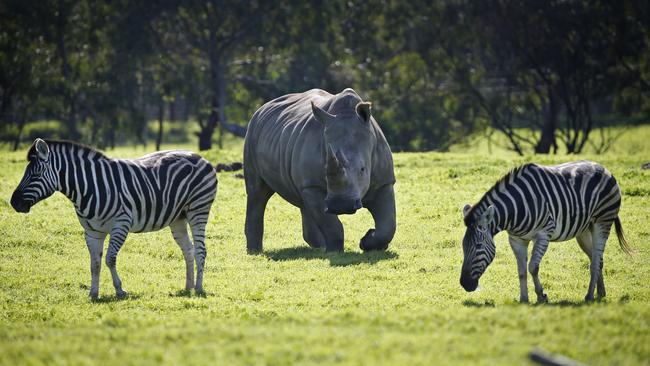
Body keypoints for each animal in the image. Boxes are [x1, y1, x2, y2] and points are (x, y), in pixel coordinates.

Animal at [9, 139, 218, 298]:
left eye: (36, 174)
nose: (13, 203)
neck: (90, 187)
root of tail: (200, 156)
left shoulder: (121, 225)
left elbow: (110, 259)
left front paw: (120, 290)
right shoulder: (92, 232)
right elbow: (94, 263)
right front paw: (93, 294)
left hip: (198, 209)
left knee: (201, 250)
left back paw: (199, 288)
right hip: (178, 217)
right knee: (189, 250)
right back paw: (188, 287)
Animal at [458, 161, 632, 304]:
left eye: (478, 245)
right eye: (463, 246)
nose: (465, 284)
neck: (517, 208)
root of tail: (604, 168)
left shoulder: (544, 234)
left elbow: (533, 267)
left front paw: (541, 296)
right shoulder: (516, 240)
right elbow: (521, 271)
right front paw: (524, 299)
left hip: (603, 221)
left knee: (595, 261)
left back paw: (589, 296)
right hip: (584, 230)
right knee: (598, 258)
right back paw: (600, 293)